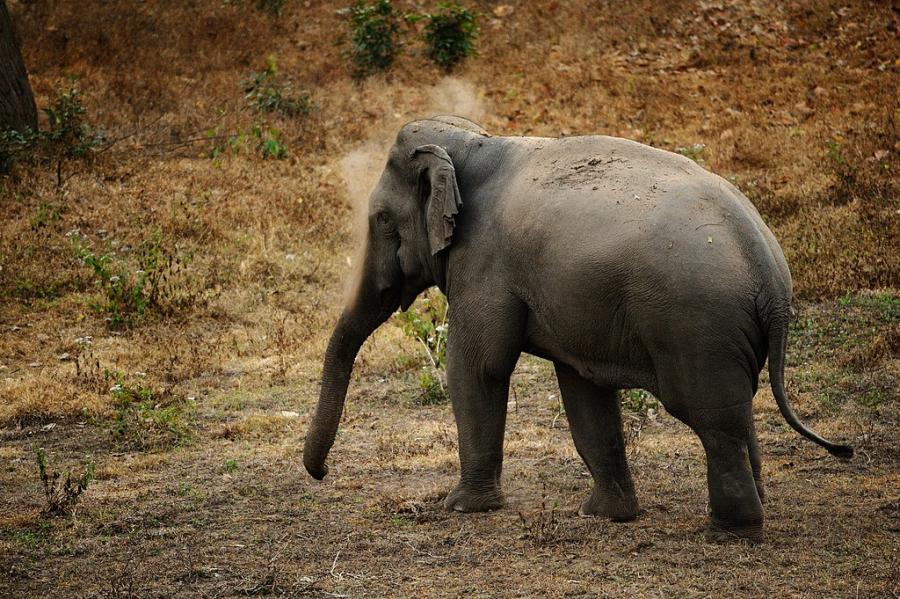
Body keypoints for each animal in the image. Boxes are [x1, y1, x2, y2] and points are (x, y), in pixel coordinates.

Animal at [302, 116, 852, 544]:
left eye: (380, 219)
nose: (322, 473)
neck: (478, 142)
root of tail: (768, 270)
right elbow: (582, 389)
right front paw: (604, 516)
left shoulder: (484, 265)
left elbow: (478, 366)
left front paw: (462, 508)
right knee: (739, 412)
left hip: (698, 329)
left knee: (714, 419)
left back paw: (729, 530)